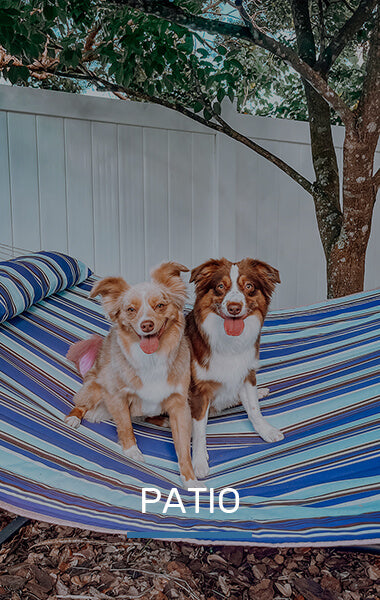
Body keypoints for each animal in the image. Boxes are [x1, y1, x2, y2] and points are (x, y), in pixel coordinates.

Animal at [65, 262, 203, 488]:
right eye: (130, 310)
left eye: (160, 306)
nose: (146, 325)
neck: (152, 359)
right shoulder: (116, 395)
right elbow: (125, 426)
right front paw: (132, 453)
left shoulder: (179, 404)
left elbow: (183, 449)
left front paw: (190, 480)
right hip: (96, 386)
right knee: (81, 403)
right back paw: (73, 418)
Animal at [186, 256, 284, 478]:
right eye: (220, 286)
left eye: (249, 286)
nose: (234, 308)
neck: (229, 343)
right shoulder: (199, 390)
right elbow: (199, 429)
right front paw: (198, 460)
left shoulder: (247, 374)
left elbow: (254, 409)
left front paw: (266, 430)